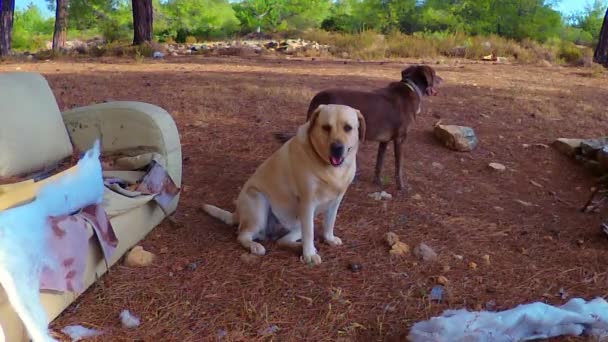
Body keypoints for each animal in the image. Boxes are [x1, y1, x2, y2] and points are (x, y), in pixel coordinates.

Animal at [204, 104, 366, 264]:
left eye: (348, 128)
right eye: (326, 127)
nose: (337, 148)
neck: (330, 168)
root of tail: (237, 213)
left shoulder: (336, 200)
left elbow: (330, 222)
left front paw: (329, 239)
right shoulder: (307, 202)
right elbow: (309, 233)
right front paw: (309, 255)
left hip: (297, 224)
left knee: (281, 241)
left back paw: (298, 246)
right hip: (259, 204)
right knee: (243, 235)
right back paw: (256, 246)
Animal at [276, 65, 442, 192]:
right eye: (435, 74)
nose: (442, 79)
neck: (412, 88)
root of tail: (319, 97)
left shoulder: (384, 141)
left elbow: (379, 163)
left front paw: (377, 181)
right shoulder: (400, 140)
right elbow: (398, 167)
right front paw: (401, 187)